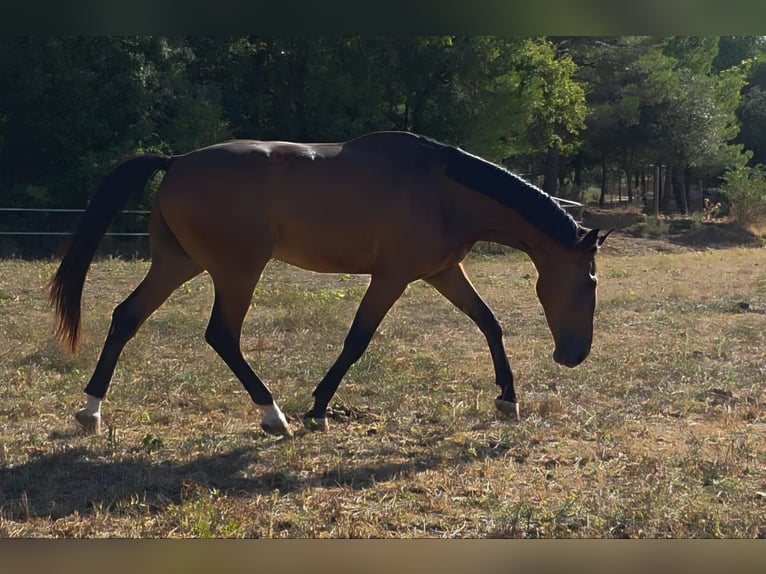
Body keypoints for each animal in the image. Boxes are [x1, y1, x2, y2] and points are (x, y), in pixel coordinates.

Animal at [49, 131, 609, 437]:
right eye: (590, 283)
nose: (574, 356)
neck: (445, 190)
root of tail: (177, 161)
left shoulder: (443, 272)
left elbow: (489, 324)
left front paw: (508, 400)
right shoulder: (392, 277)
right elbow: (357, 340)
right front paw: (318, 408)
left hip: (177, 263)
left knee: (126, 317)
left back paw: (91, 410)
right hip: (236, 271)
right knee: (221, 335)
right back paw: (273, 416)